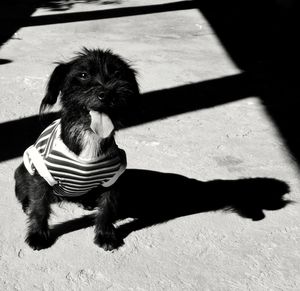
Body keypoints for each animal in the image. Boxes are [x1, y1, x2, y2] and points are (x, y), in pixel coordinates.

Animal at [14, 48, 139, 251]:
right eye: (83, 75)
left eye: (118, 74)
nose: (107, 94)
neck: (89, 135)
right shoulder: (41, 176)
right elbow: (40, 207)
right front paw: (38, 235)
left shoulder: (112, 179)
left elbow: (107, 208)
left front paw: (105, 235)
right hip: (23, 170)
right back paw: (27, 205)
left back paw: (86, 202)